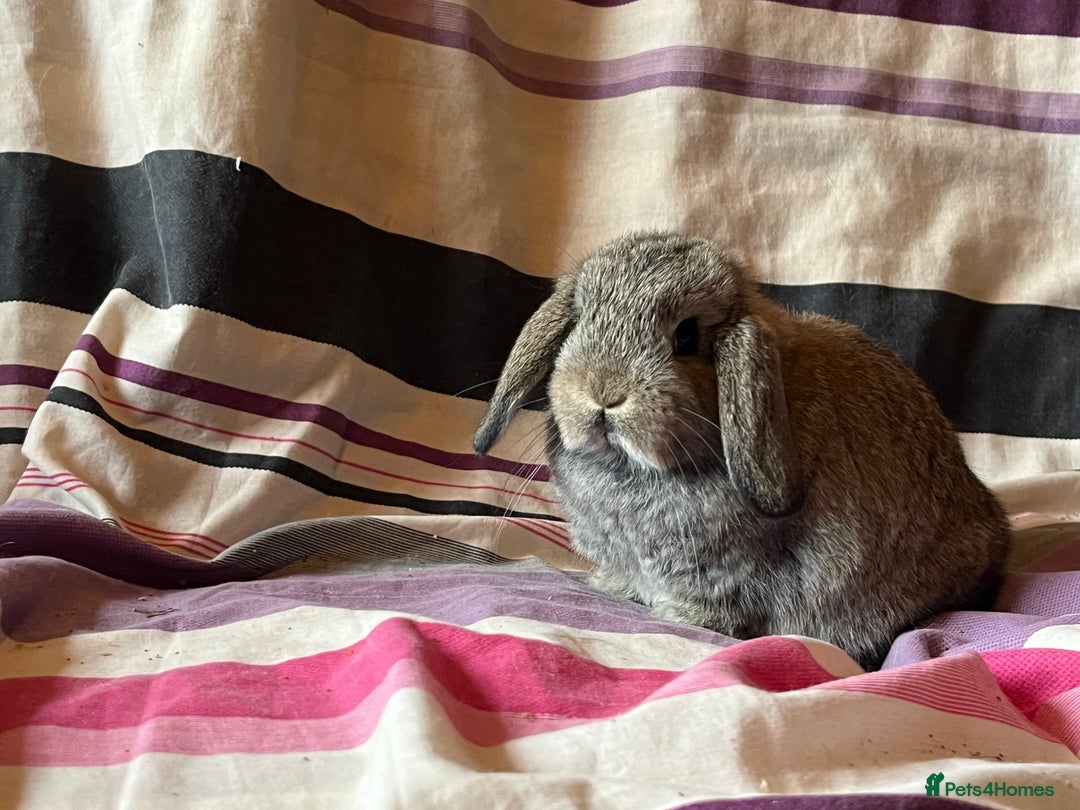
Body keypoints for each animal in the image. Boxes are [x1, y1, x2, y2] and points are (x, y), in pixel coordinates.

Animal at [473, 231, 1011, 670]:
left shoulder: (729, 572)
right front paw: (610, 588)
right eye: (582, 319)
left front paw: (673, 614)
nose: (603, 393)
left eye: (686, 336)